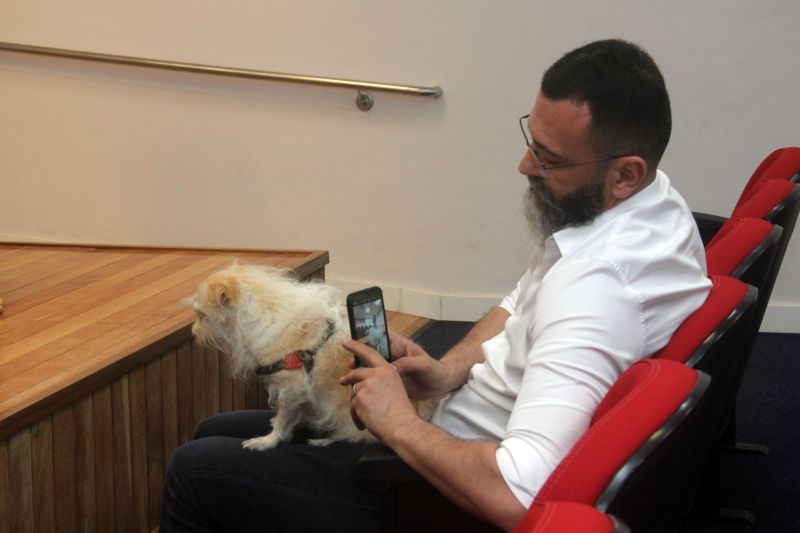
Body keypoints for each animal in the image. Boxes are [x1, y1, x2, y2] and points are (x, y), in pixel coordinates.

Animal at [190, 263, 439, 450]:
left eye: (200, 315)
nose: (192, 332)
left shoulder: (291, 389)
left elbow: (284, 419)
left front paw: (268, 440)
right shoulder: (300, 394)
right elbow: (295, 412)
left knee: (354, 435)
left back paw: (324, 440)